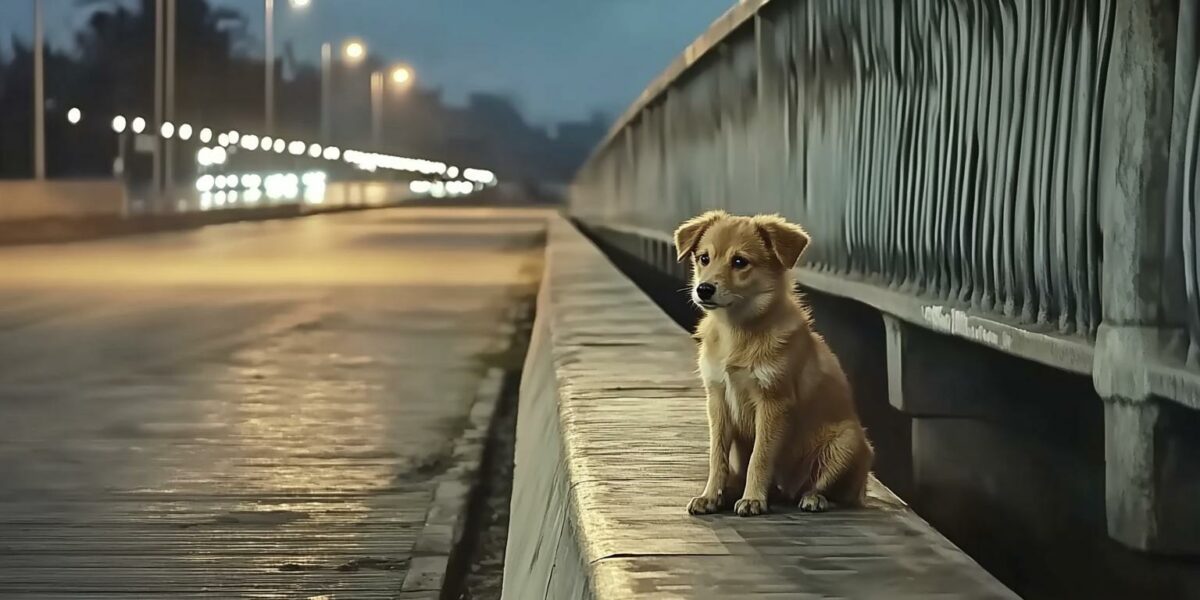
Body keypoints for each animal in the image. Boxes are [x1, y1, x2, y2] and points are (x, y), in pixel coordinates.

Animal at [676, 210, 873, 516]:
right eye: (704, 258)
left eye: (739, 261)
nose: (703, 289)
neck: (738, 332)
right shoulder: (717, 400)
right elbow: (717, 456)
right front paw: (710, 496)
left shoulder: (773, 403)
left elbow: (760, 456)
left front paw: (753, 498)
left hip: (847, 442)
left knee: (833, 491)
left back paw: (813, 498)